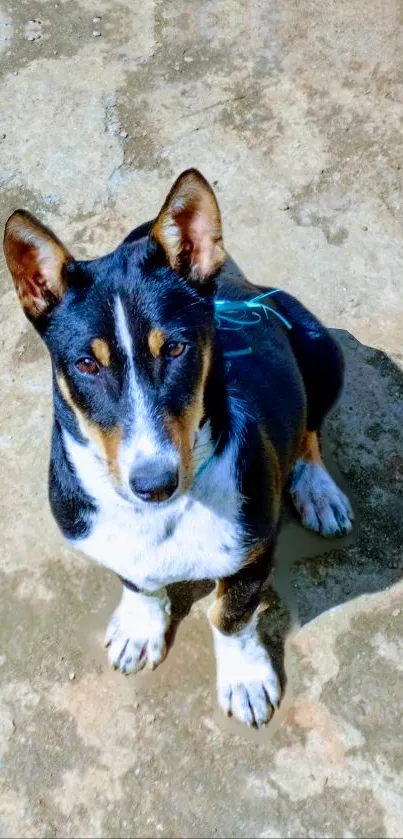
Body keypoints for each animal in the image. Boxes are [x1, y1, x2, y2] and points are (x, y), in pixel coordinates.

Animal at [3, 169, 354, 728]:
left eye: (174, 348)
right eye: (86, 364)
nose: (154, 485)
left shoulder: (255, 549)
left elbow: (229, 614)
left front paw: (245, 680)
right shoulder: (113, 542)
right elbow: (137, 580)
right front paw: (140, 628)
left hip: (323, 351)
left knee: (310, 430)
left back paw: (318, 490)